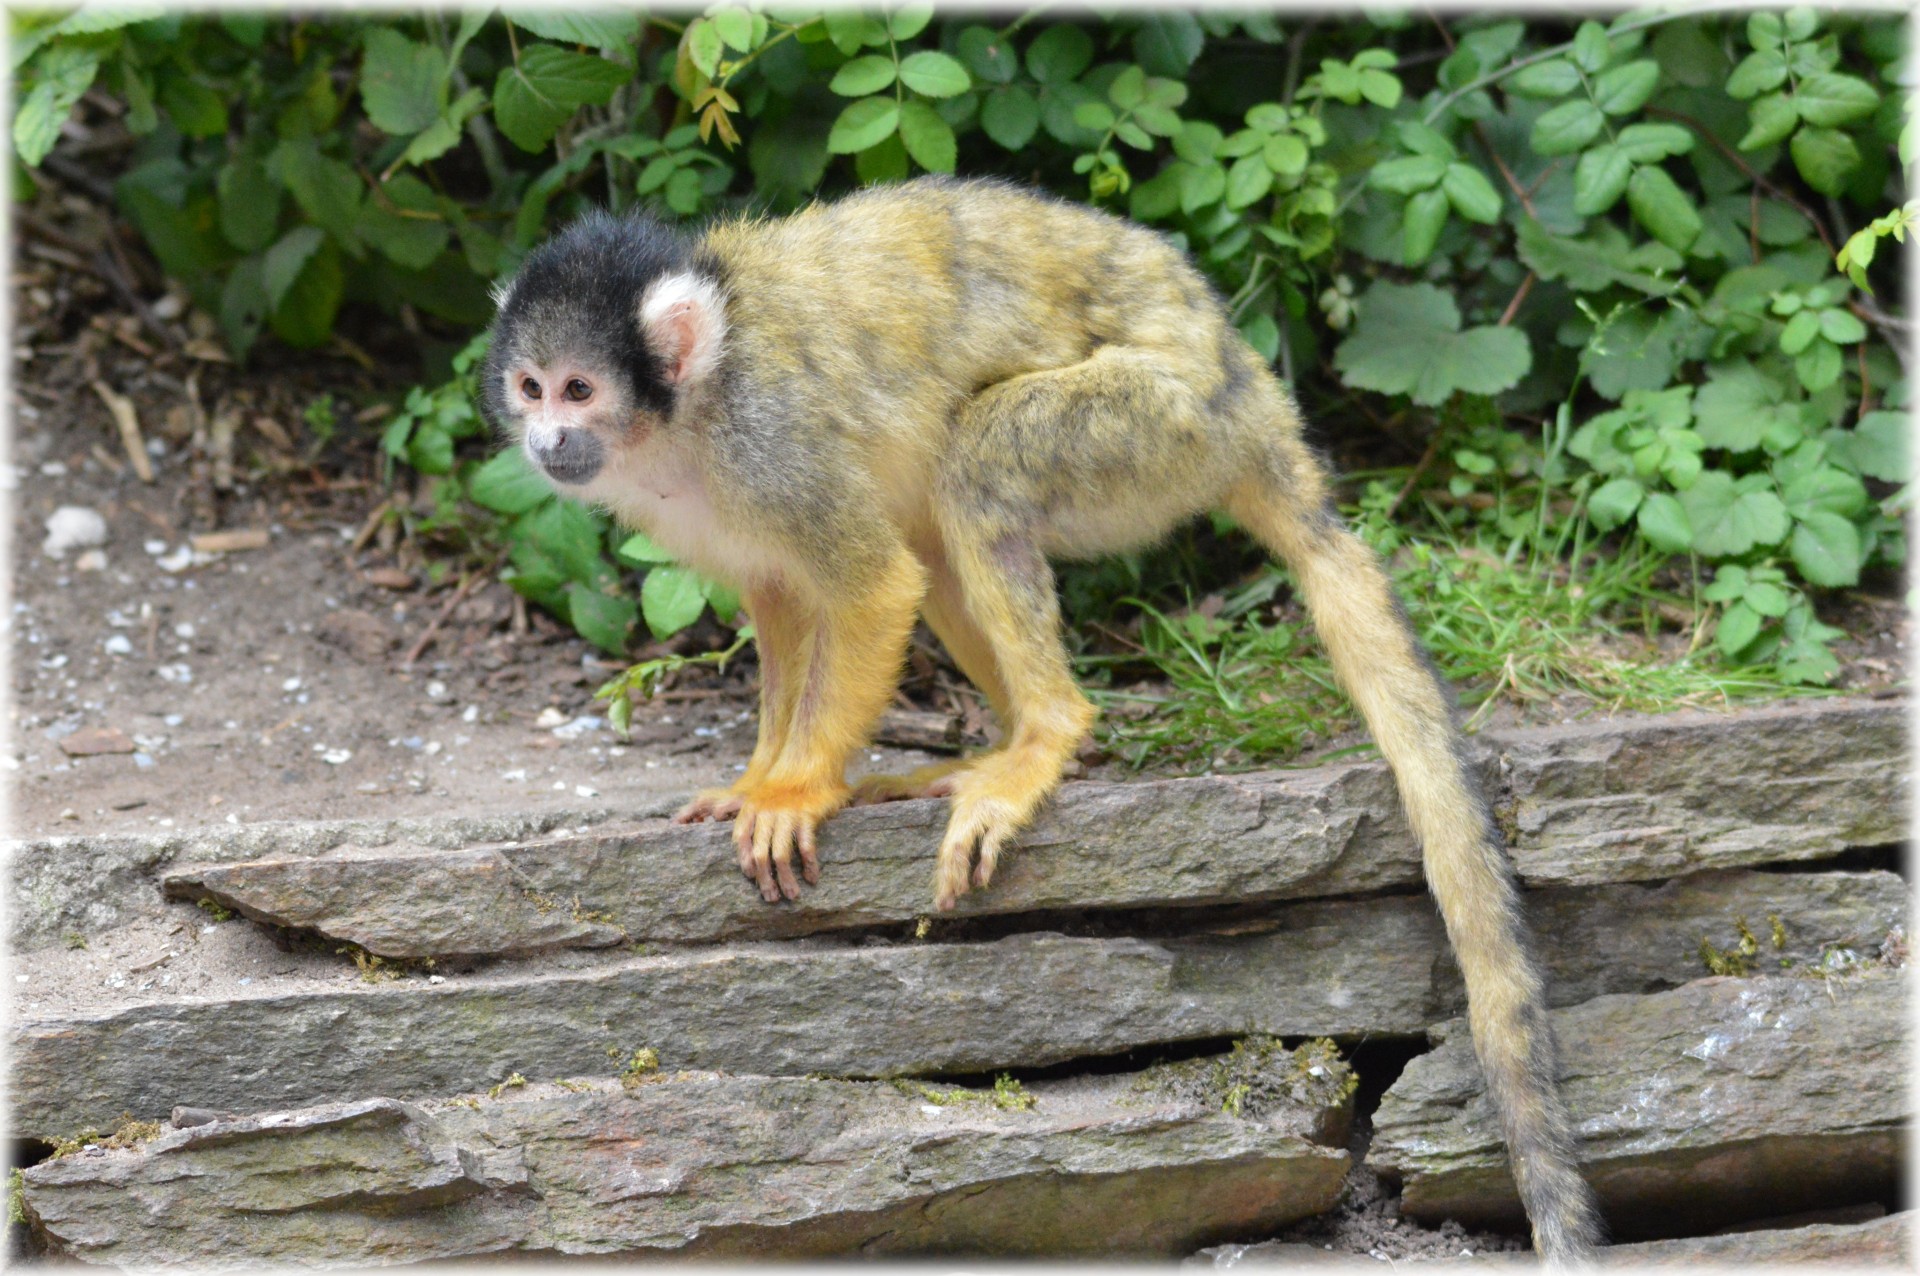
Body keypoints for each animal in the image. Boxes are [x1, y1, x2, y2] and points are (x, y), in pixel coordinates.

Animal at [480, 174, 1605, 1258]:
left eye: (579, 389)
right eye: (530, 389)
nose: (546, 438)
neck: (687, 411)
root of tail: (1247, 391)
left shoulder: (768, 439)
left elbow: (871, 585)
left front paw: (796, 790)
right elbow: (787, 594)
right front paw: (759, 778)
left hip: (1157, 429)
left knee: (976, 463)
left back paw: (1045, 736)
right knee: (938, 523)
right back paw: (996, 744)